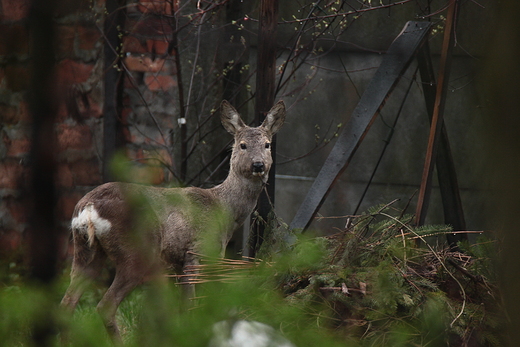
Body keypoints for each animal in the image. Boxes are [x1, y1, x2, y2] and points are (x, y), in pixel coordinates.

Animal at [62, 100, 286, 340]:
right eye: (242, 145)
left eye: (267, 145)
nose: (258, 165)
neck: (224, 210)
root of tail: (88, 208)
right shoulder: (196, 252)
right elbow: (190, 307)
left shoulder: (179, 261)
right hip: (136, 251)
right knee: (105, 305)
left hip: (86, 250)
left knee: (67, 302)